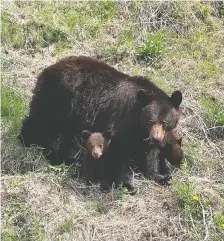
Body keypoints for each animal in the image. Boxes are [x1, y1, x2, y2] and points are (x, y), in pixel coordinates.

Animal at [17, 56, 182, 186]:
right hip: (59, 101)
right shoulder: (121, 122)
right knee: (42, 125)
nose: (156, 138)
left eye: (165, 122)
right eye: (150, 120)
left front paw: (160, 176)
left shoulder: (142, 136)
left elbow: (149, 155)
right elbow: (117, 151)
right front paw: (125, 182)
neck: (136, 121)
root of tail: (48, 69)